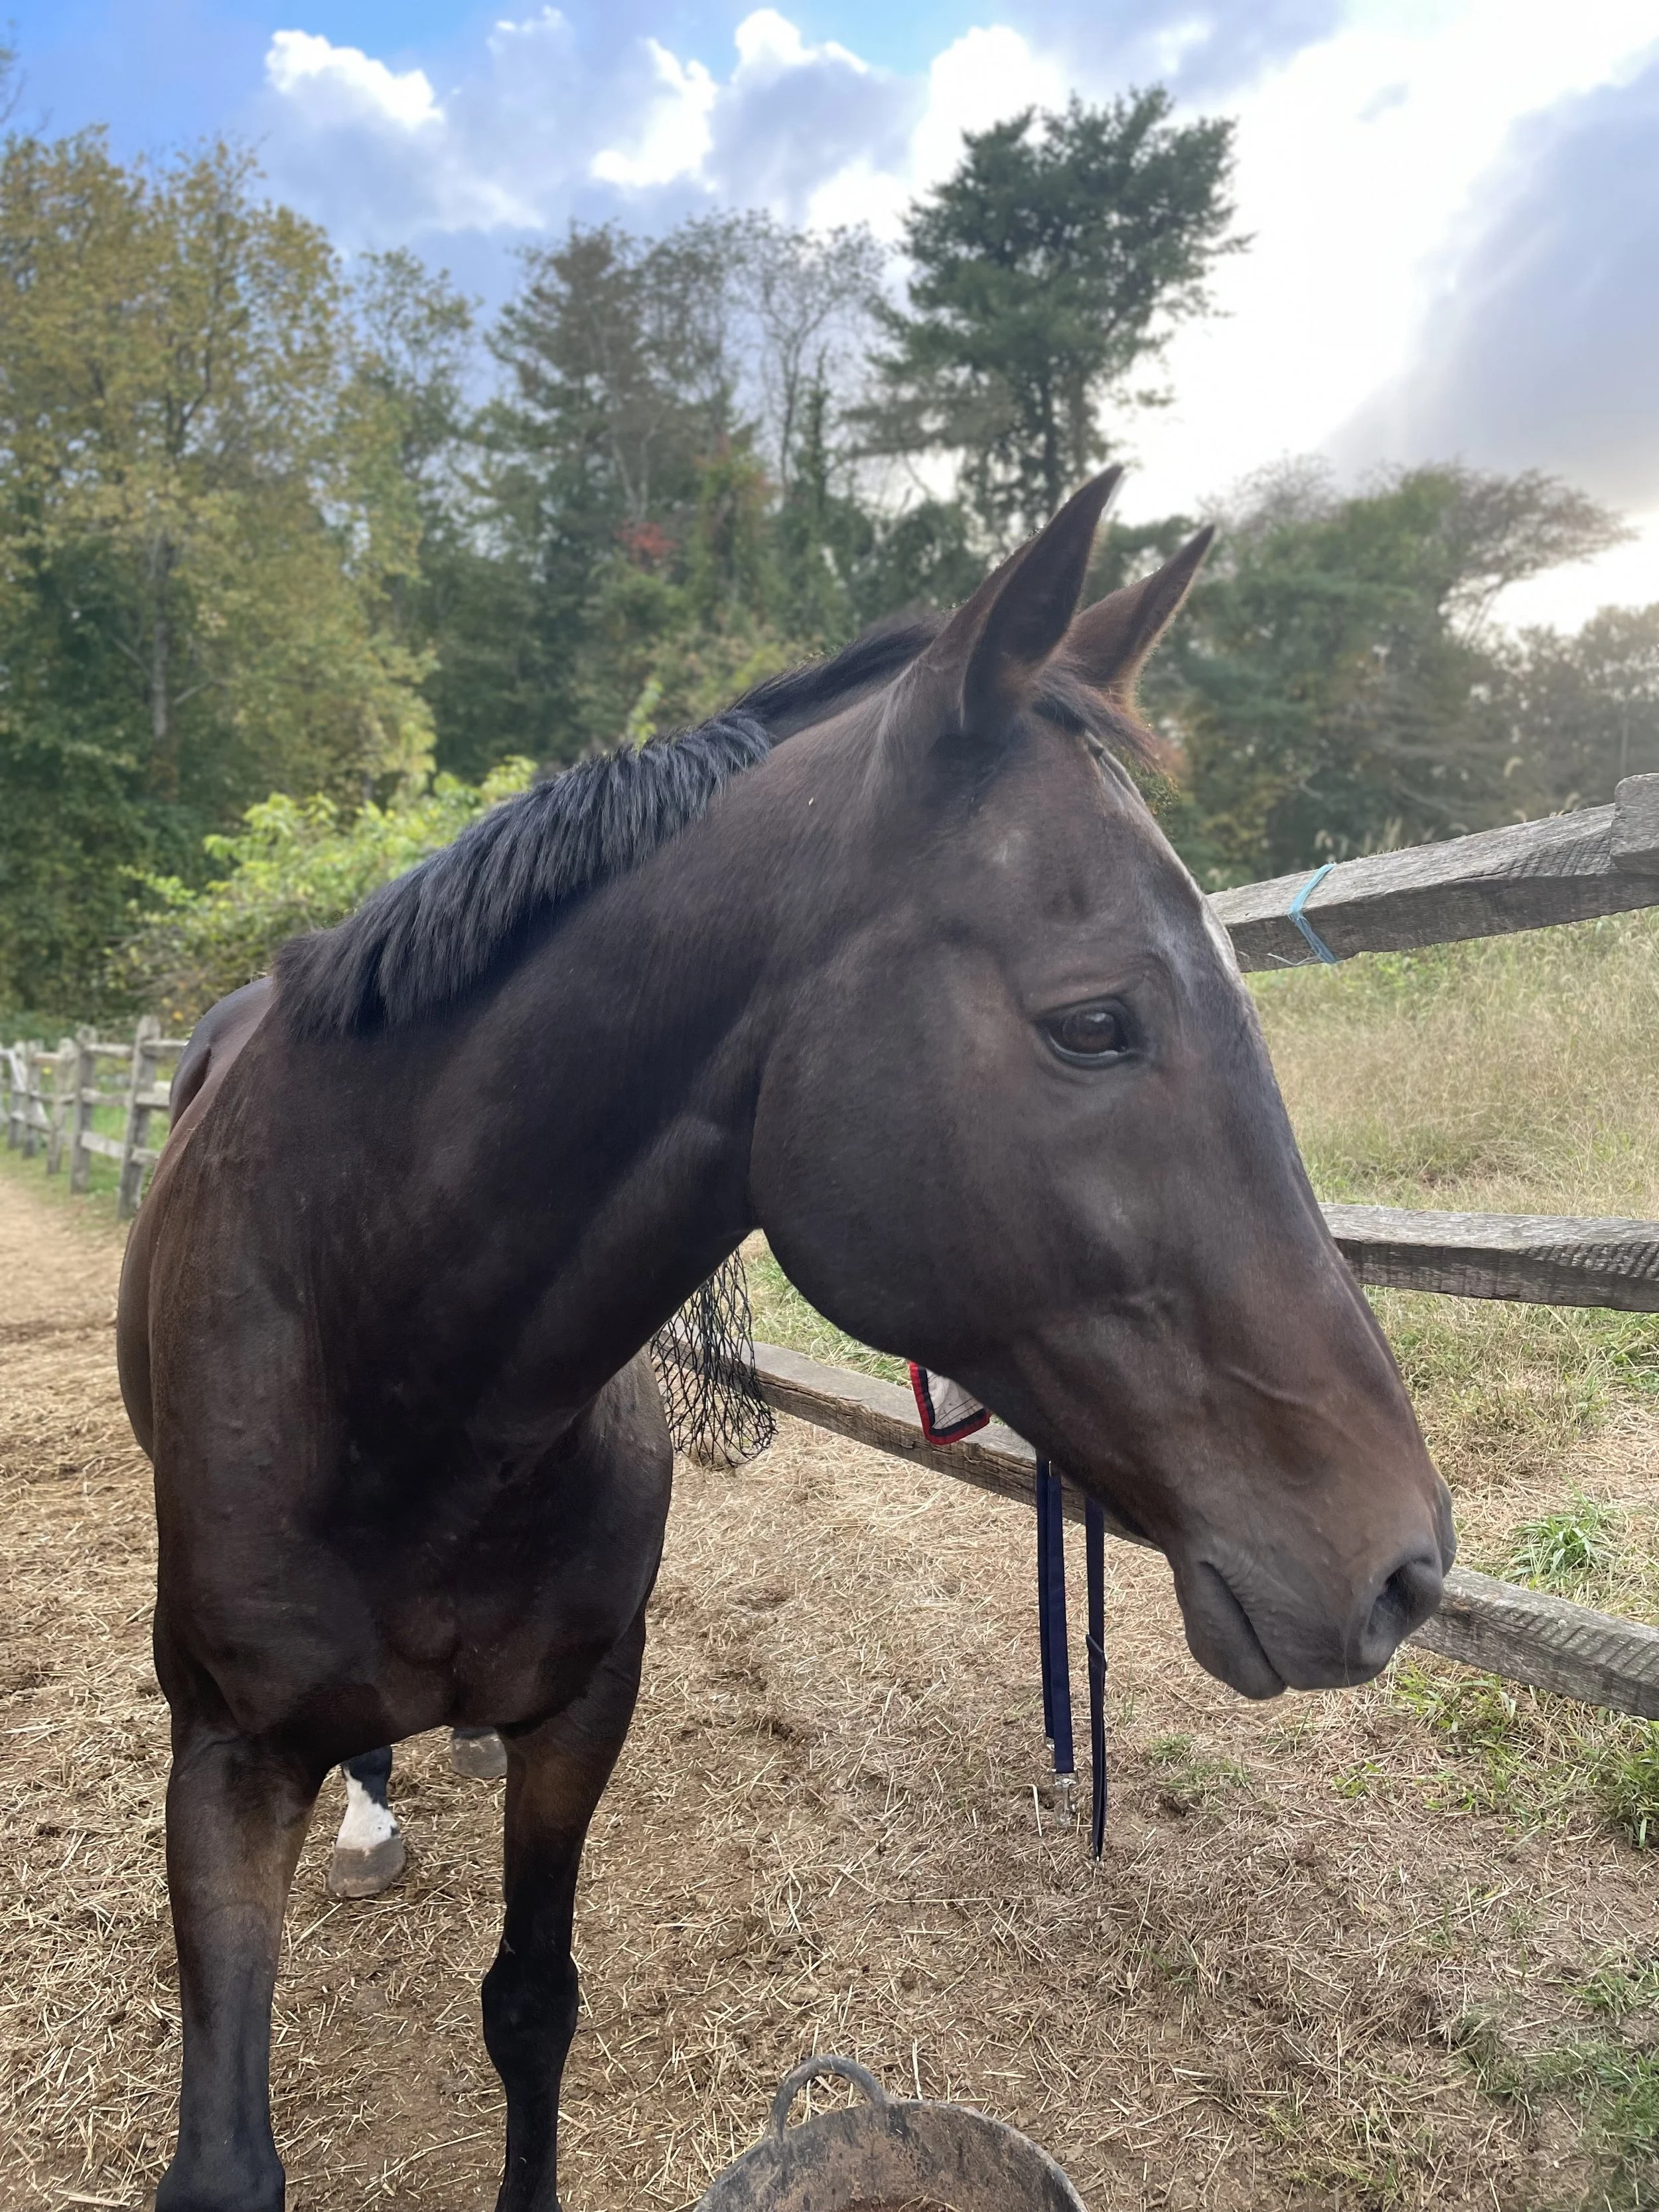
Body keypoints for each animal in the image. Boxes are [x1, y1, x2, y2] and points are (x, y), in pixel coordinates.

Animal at [118, 468, 1453, 2212]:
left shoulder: (583, 1709)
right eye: (1096, 1023)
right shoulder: (217, 1754)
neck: (379, 1361)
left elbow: (530, 2007)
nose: (1406, 1566)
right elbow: (226, 2156)